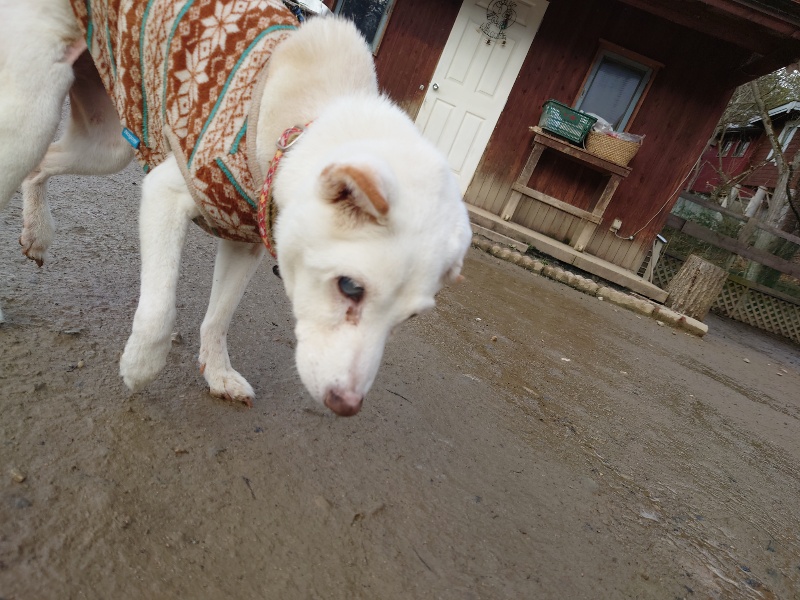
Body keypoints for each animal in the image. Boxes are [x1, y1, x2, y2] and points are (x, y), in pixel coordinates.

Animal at [0, 0, 471, 416]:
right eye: (350, 287)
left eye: (410, 317)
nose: (346, 406)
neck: (292, 126)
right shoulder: (164, 194)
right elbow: (159, 309)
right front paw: (140, 367)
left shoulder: (244, 239)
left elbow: (219, 317)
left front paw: (217, 373)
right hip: (30, 117)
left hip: (106, 144)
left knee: (40, 166)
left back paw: (37, 232)